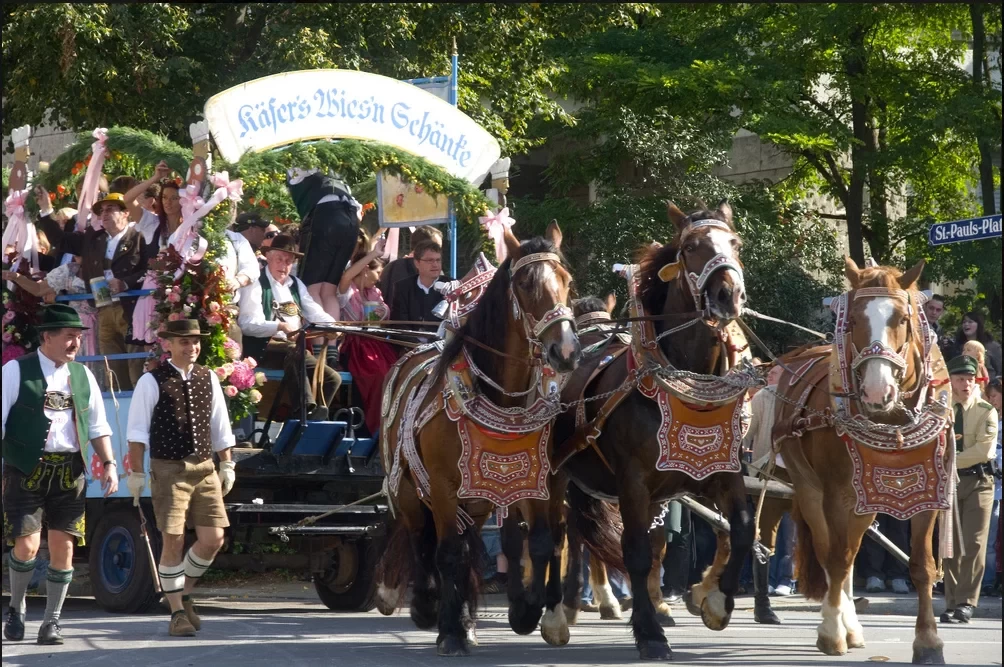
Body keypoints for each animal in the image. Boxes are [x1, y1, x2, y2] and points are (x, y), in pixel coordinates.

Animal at [375, 224, 582, 654]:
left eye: (567, 281)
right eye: (525, 283)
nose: (567, 351)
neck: (500, 397)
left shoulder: (531, 481)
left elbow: (540, 542)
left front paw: (529, 612)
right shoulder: (440, 486)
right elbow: (447, 553)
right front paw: (448, 630)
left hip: (478, 500)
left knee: (468, 545)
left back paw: (467, 619)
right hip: (408, 488)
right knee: (422, 539)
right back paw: (429, 606)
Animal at [554, 200, 755, 658]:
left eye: (735, 242)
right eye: (692, 247)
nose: (728, 295)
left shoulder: (719, 474)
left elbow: (740, 529)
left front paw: (716, 601)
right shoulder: (633, 482)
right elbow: (637, 552)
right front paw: (648, 632)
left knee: (578, 536)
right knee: (557, 537)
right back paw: (556, 612)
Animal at [771, 257, 951, 662]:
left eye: (902, 319)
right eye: (851, 320)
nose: (875, 390)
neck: (893, 421)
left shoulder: (930, 493)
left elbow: (922, 565)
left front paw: (928, 642)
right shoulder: (837, 494)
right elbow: (836, 558)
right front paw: (830, 633)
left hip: (865, 500)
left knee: (852, 554)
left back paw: (852, 627)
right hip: (811, 489)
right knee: (832, 554)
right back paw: (838, 625)